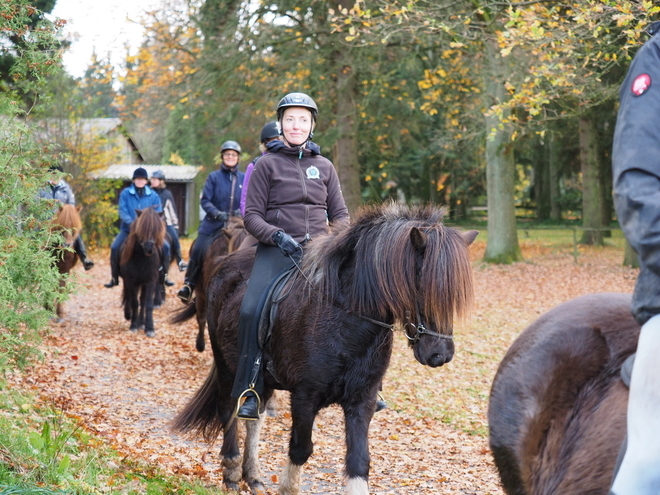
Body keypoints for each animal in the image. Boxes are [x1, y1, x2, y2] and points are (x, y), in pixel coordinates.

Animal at [120, 205, 165, 338]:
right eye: (142, 229)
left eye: (156, 229)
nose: (149, 249)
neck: (141, 258)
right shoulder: (131, 281)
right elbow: (134, 303)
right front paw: (133, 326)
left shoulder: (150, 281)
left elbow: (148, 304)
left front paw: (149, 328)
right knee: (130, 298)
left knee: (143, 301)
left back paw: (142, 323)